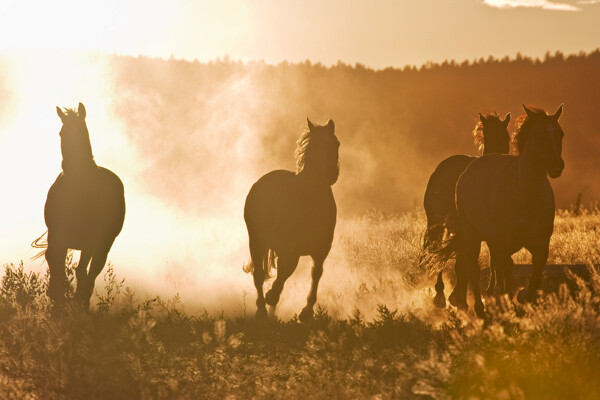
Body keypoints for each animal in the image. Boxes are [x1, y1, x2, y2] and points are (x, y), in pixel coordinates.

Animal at [42, 103, 125, 310]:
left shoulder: (91, 241)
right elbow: (56, 264)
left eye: (82, 130)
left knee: (90, 273)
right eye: (61, 132)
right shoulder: (57, 235)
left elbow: (81, 273)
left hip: (103, 245)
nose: (68, 166)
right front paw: (56, 300)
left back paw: (82, 303)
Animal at [243, 118, 338, 322]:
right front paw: (272, 295)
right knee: (259, 274)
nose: (330, 173)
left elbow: (316, 274)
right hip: (256, 241)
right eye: (316, 146)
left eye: (336, 144)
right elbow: (285, 271)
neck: (309, 203)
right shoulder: (289, 248)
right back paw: (262, 310)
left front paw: (307, 312)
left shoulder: (321, 250)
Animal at [422, 112, 510, 310]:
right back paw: (440, 295)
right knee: (439, 252)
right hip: (437, 225)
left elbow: (491, 262)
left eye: (506, 137)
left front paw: (488, 293)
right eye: (486, 136)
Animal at [446, 104, 564, 318]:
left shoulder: (541, 246)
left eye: (560, 134)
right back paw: (480, 308)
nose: (556, 166)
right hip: (471, 234)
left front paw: (525, 299)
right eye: (541, 136)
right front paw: (511, 303)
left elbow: (534, 276)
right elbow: (506, 268)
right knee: (474, 267)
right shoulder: (502, 242)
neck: (526, 193)